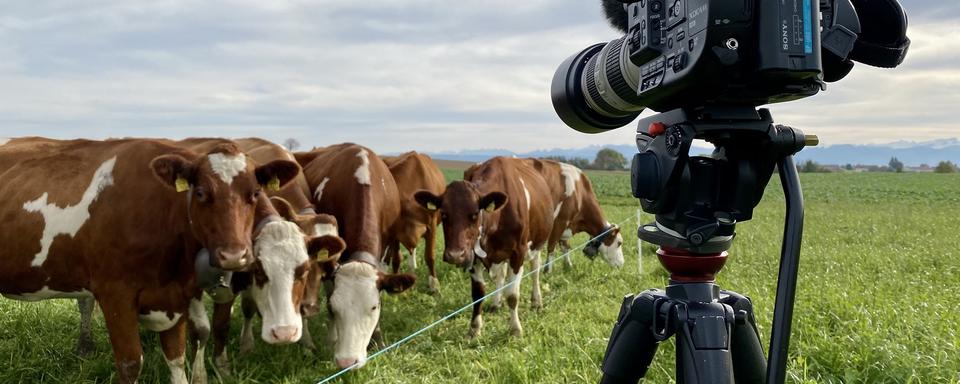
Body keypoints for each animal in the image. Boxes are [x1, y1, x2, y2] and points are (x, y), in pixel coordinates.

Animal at [0, 138, 304, 384]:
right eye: (201, 193)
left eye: (255, 194)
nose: (234, 255)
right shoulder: (115, 296)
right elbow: (130, 364)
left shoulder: (177, 295)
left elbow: (178, 358)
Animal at [296, 143, 416, 368]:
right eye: (333, 307)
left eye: (374, 307)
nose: (347, 362)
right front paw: (332, 340)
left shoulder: (384, 253)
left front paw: (377, 340)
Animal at [414, 156, 556, 340]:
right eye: (444, 214)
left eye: (475, 214)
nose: (455, 255)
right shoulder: (473, 256)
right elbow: (478, 294)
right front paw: (474, 329)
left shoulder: (518, 253)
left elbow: (512, 295)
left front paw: (515, 329)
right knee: (501, 276)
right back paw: (496, 303)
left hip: (537, 244)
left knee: (535, 271)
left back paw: (536, 301)